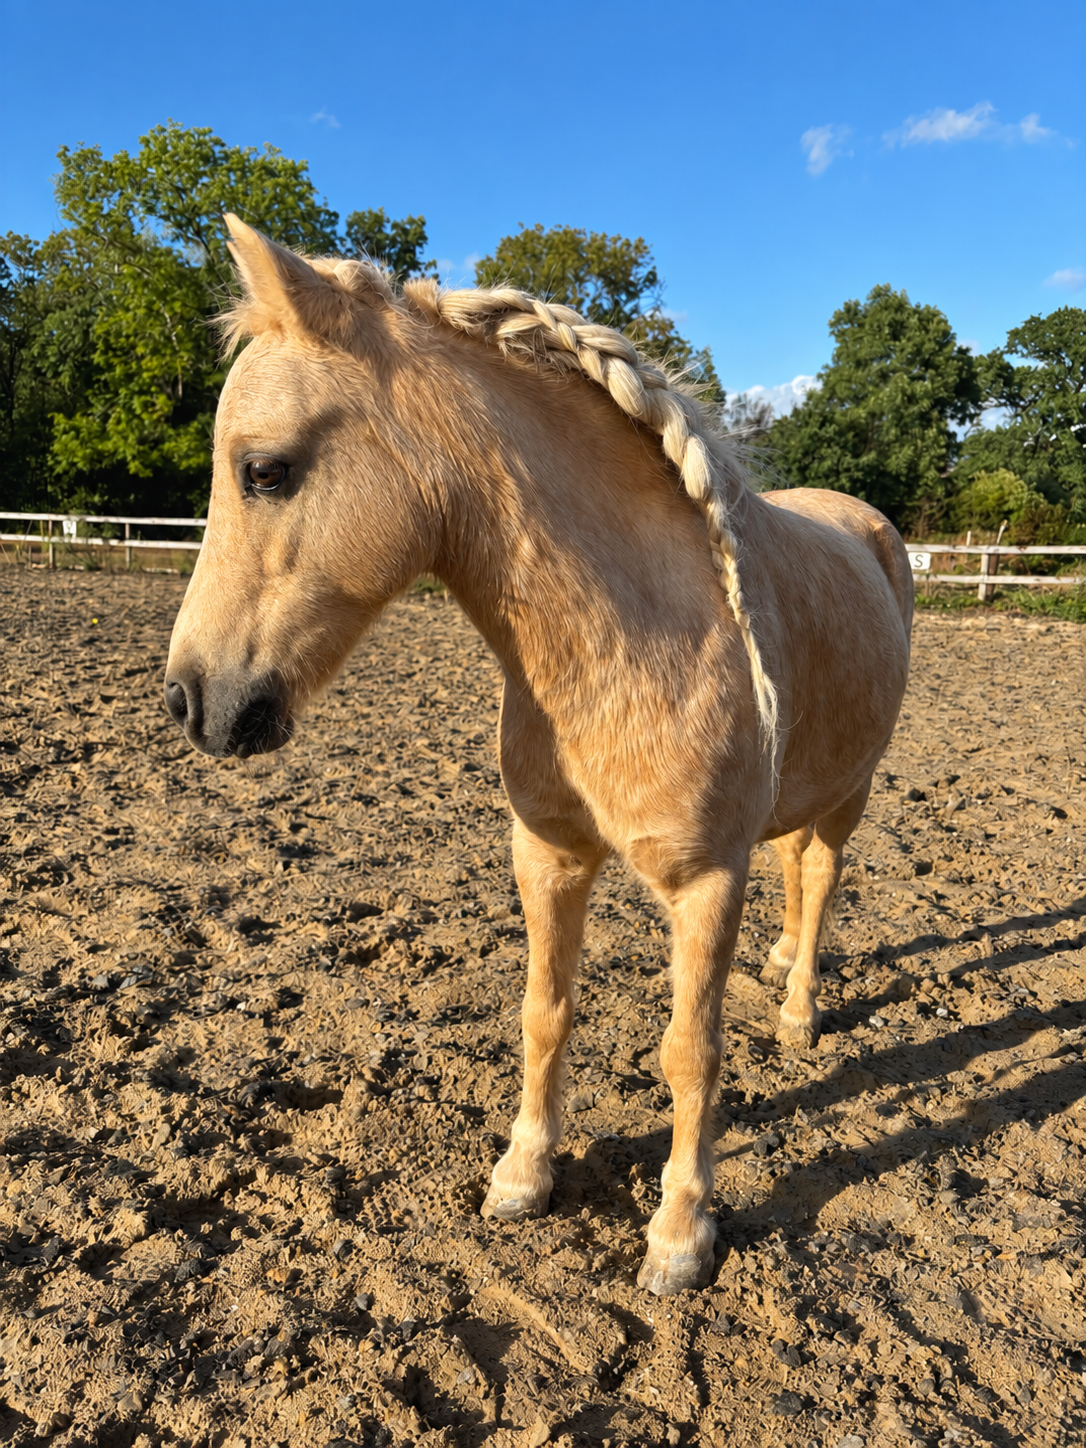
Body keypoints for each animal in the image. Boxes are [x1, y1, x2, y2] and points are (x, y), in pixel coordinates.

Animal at [164, 214, 912, 1295]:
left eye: (265, 470)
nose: (191, 700)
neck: (624, 644)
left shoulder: (706, 882)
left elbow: (690, 1052)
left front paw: (679, 1235)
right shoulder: (548, 855)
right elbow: (545, 1012)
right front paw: (523, 1173)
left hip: (853, 790)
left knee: (820, 876)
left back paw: (799, 1009)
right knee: (793, 864)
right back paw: (777, 967)